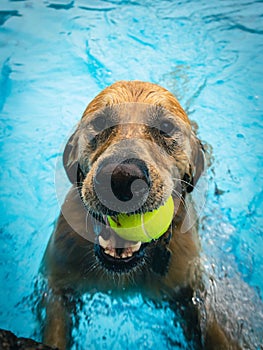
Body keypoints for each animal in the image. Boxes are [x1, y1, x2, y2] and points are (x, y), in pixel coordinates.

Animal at [41, 80, 241, 348]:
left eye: (166, 127)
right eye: (100, 123)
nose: (121, 178)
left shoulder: (190, 285)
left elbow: (215, 331)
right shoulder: (57, 282)